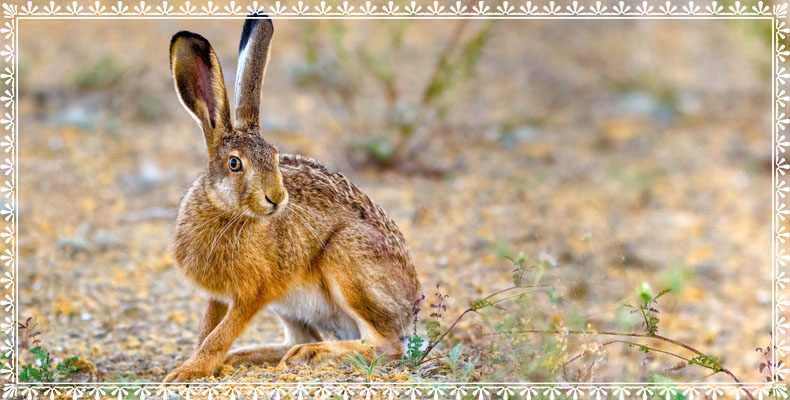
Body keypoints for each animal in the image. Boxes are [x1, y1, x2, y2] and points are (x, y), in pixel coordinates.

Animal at [163, 17, 422, 382]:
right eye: (234, 163)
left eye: (274, 156)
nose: (276, 198)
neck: (228, 212)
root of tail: (410, 311)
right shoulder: (219, 296)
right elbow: (207, 331)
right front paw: (194, 365)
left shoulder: (253, 295)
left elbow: (218, 335)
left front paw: (186, 373)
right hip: (290, 306)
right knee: (298, 338)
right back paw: (250, 356)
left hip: (348, 262)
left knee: (385, 345)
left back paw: (311, 354)